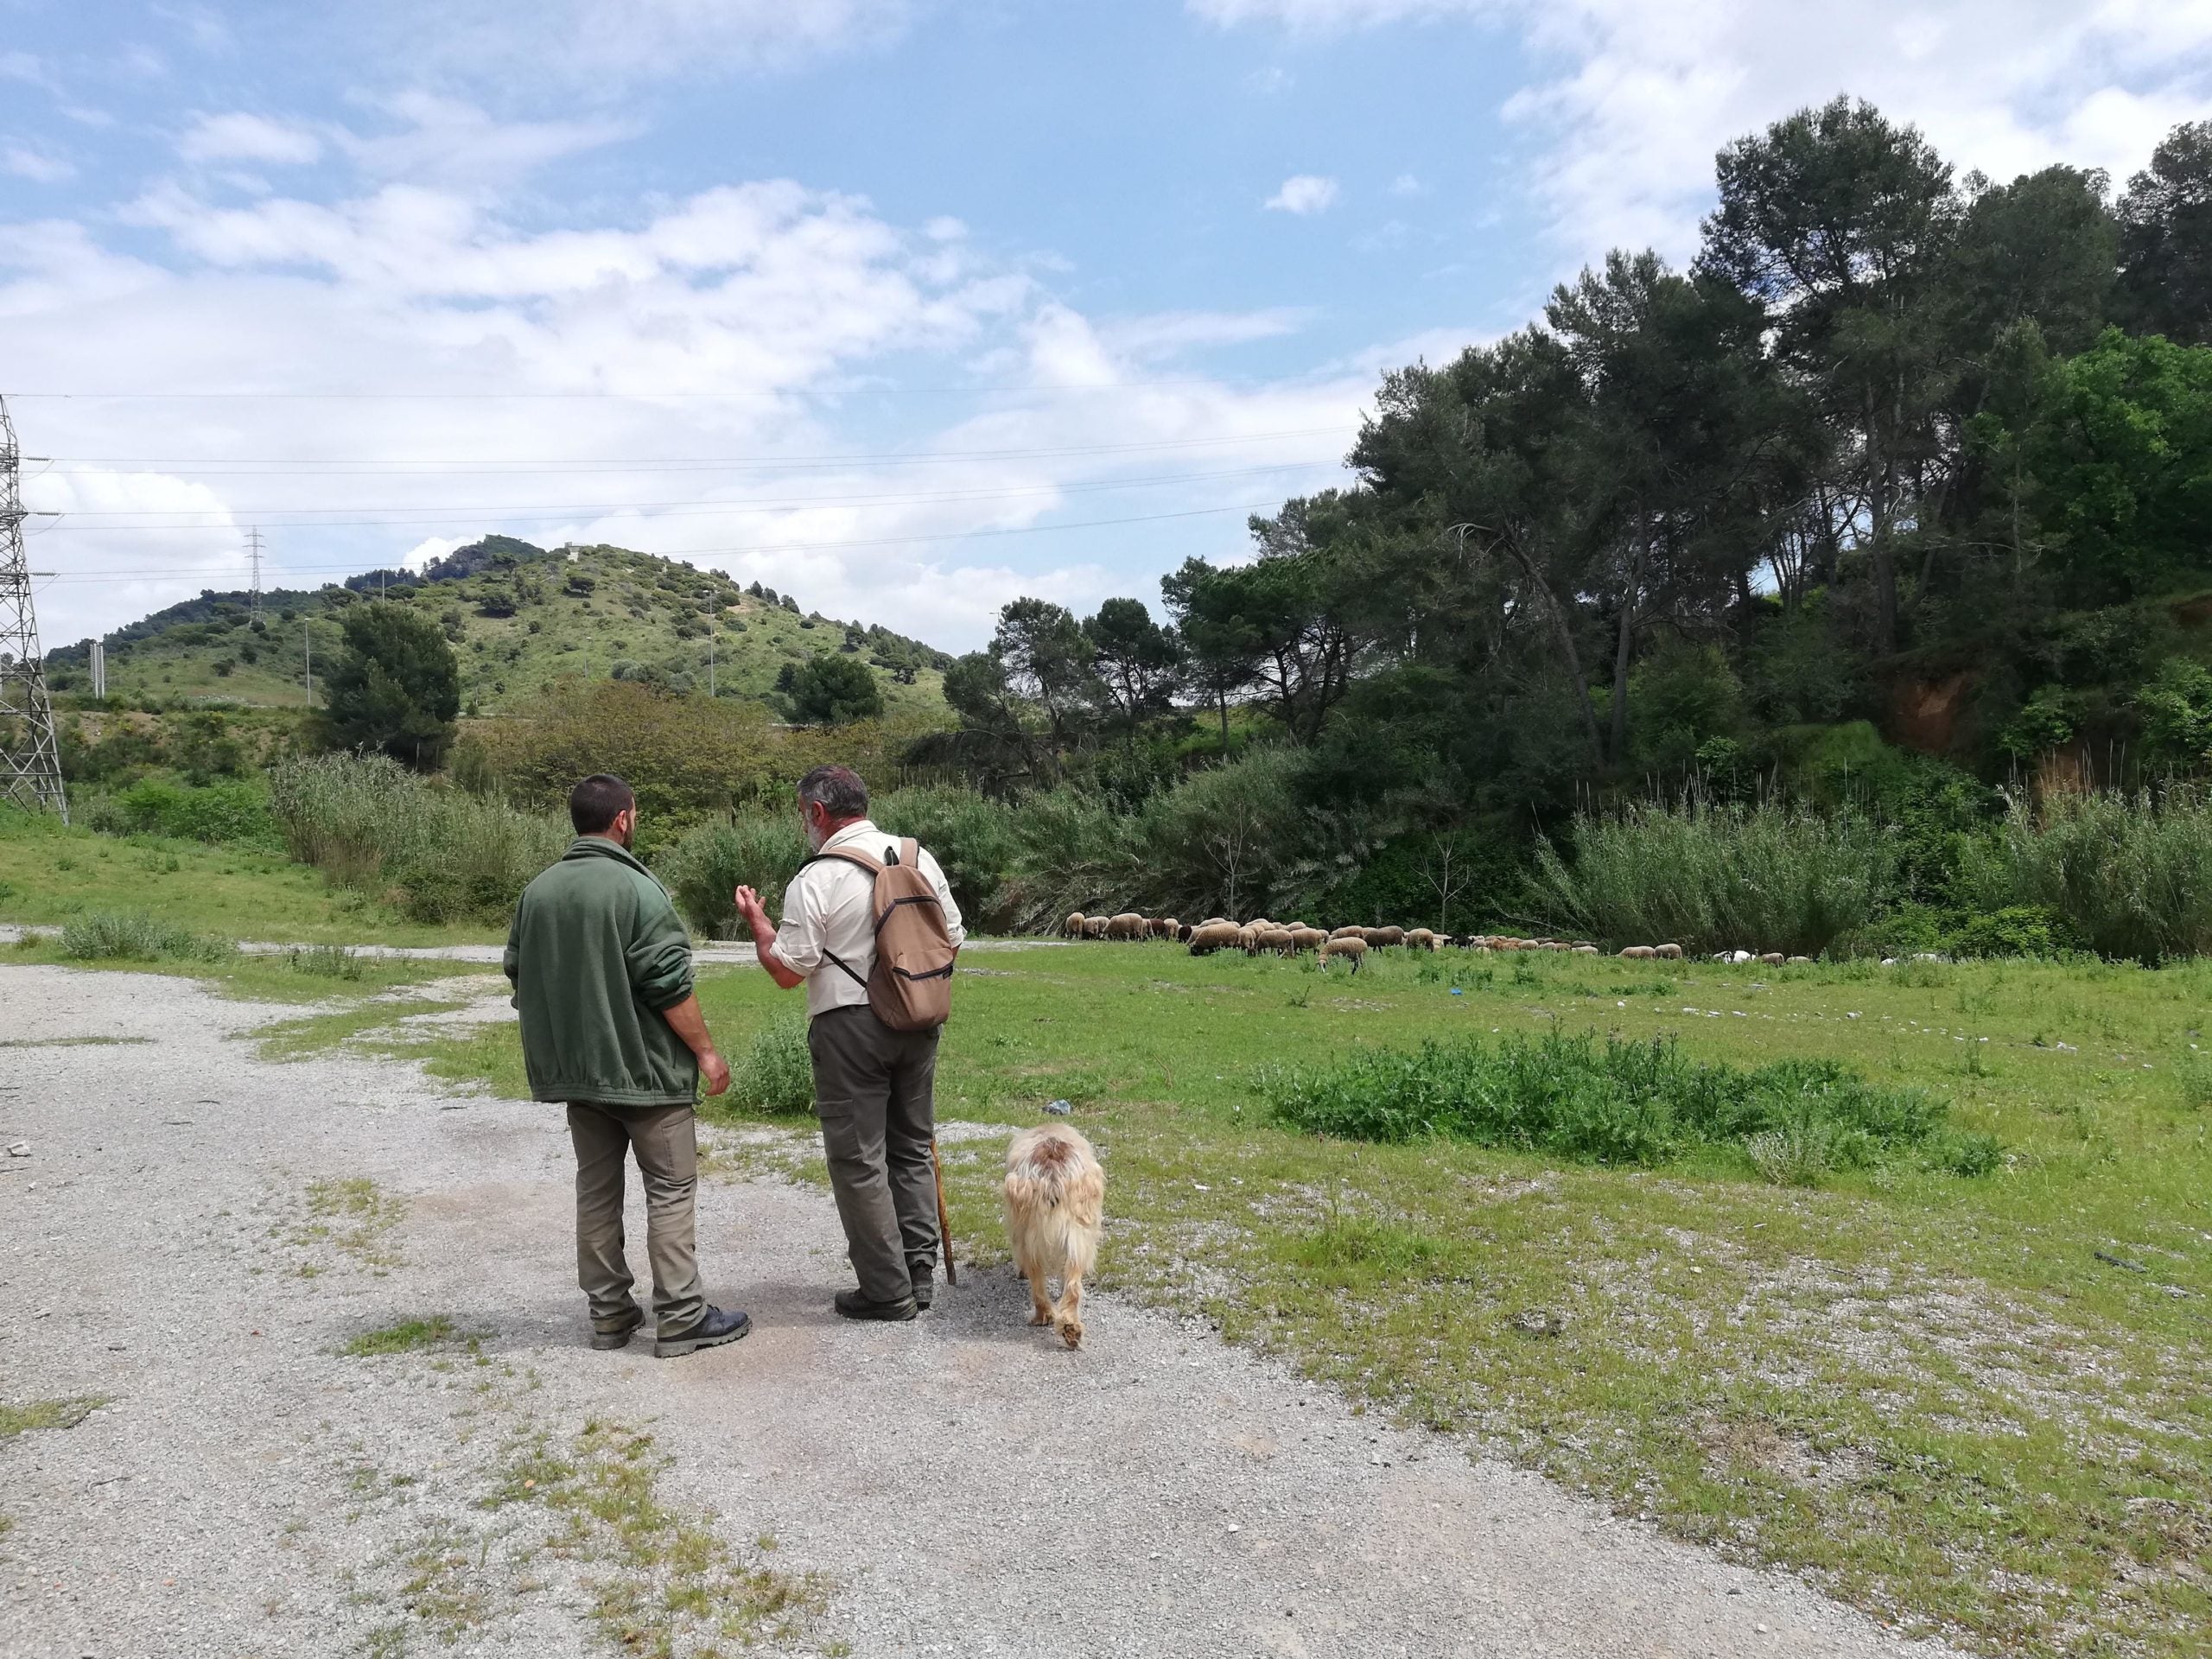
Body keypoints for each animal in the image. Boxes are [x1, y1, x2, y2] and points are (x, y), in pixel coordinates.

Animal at [1004, 1132, 1106, 1353]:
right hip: (1077, 1233)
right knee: (1072, 1284)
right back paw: (1070, 1329)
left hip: (1029, 1237)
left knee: (1038, 1282)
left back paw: (1045, 1316)